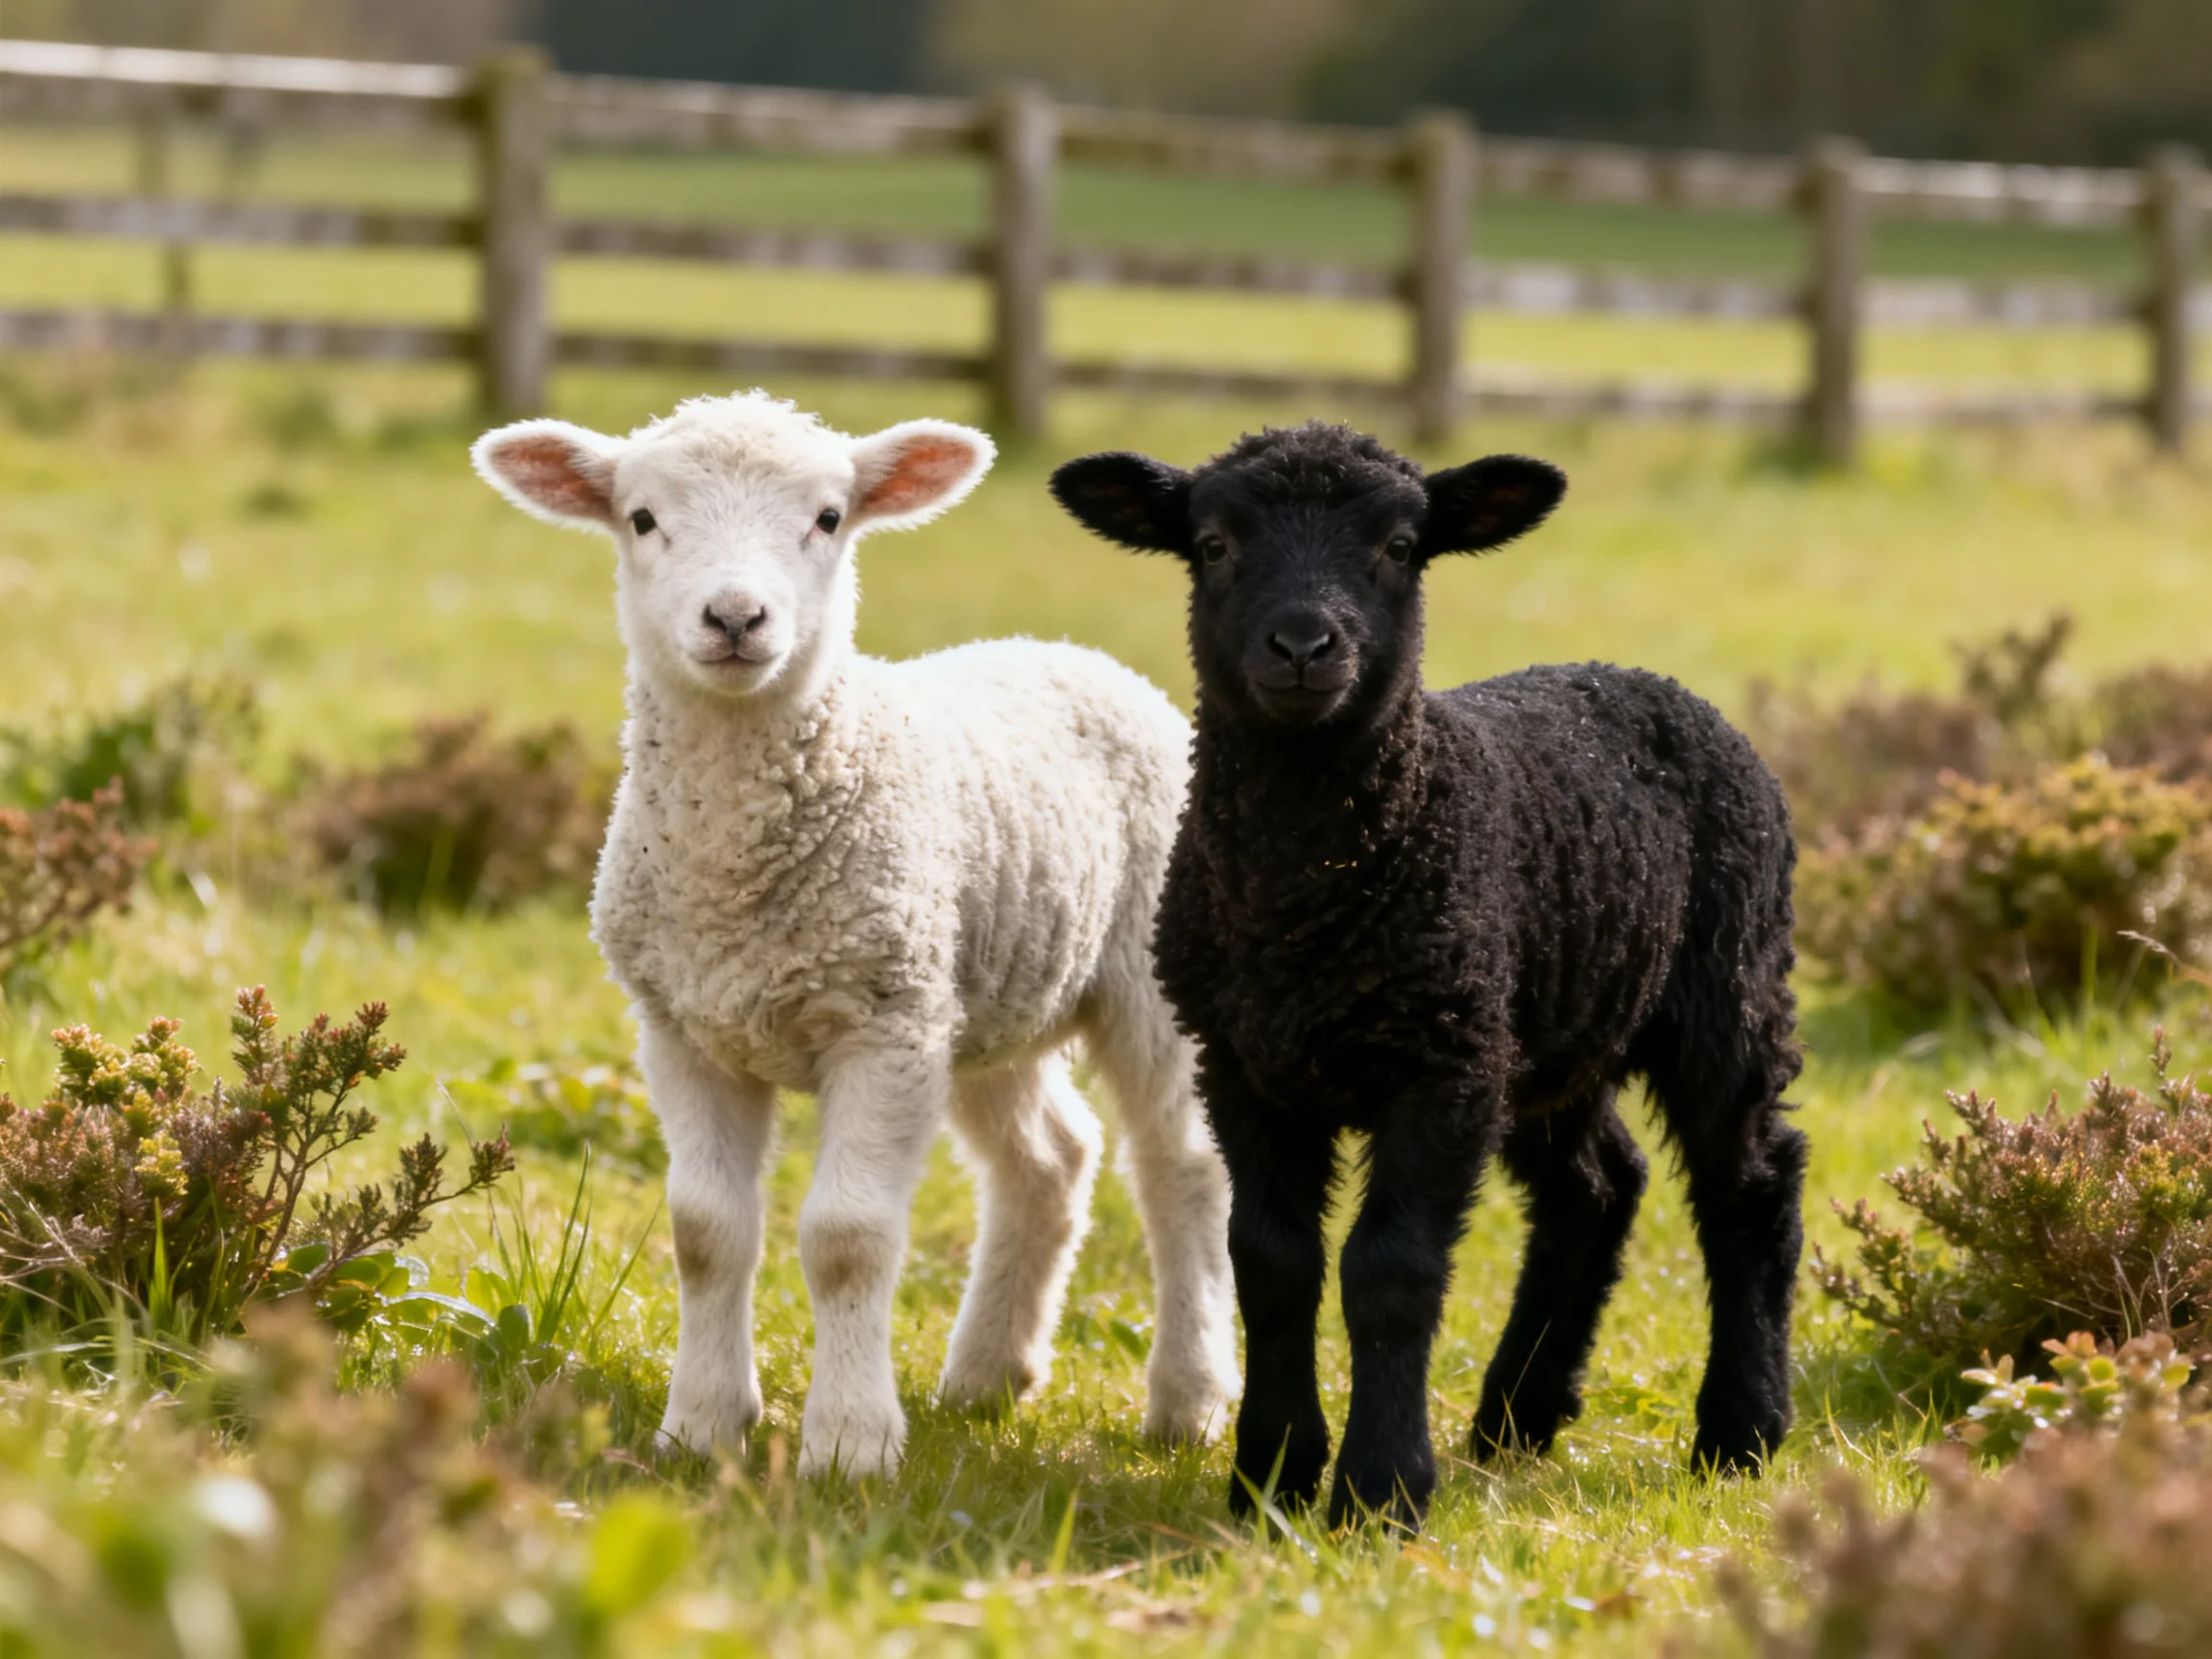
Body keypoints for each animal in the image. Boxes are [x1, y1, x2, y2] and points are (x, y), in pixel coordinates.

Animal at [470, 391, 1239, 1480]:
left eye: (829, 518)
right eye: (643, 518)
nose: (736, 618)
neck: (735, 879)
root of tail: (1069, 651)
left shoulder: (882, 1025)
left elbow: (848, 1237)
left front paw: (850, 1446)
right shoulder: (685, 1029)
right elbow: (705, 1230)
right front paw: (701, 1426)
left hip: (1142, 978)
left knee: (1183, 1166)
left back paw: (1188, 1401)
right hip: (981, 988)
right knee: (1050, 1158)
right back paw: (986, 1376)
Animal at [1050, 420, 1806, 1531]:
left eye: (1401, 546)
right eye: (1215, 544)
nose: (1304, 646)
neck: (1308, 902)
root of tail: (1639, 677)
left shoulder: (1439, 1066)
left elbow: (1390, 1270)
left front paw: (1380, 1491)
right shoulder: (1246, 1068)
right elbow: (1270, 1261)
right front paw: (1272, 1477)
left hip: (1724, 986)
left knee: (1749, 1182)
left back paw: (1739, 1430)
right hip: (1542, 1026)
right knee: (1597, 1185)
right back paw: (1517, 1415)